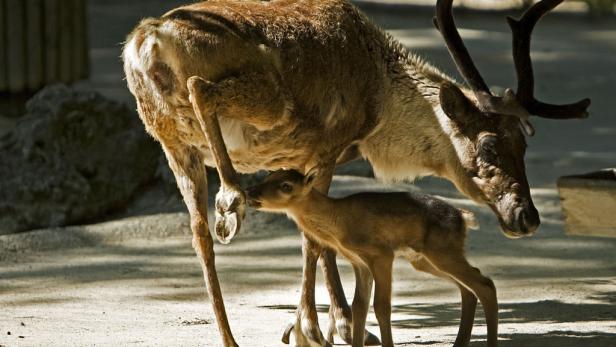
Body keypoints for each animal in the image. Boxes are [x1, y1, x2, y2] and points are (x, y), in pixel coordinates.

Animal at [248, 171, 498, 347]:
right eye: (269, 176)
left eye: (286, 186)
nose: (250, 192)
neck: (339, 222)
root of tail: (463, 218)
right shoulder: (359, 262)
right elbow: (359, 306)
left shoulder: (382, 254)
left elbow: (381, 306)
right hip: (426, 259)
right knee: (469, 288)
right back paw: (459, 343)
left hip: (441, 251)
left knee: (485, 284)